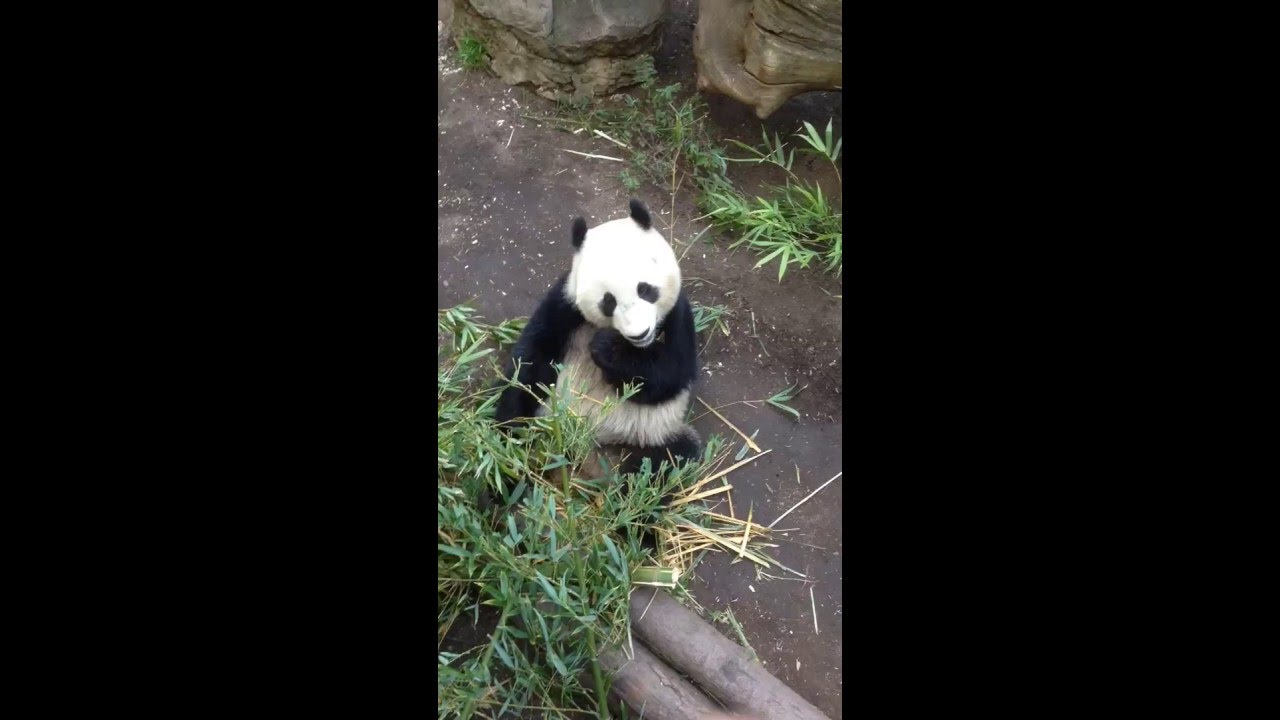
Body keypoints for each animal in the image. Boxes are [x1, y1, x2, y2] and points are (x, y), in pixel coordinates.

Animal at [494, 199, 701, 475]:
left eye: (645, 289)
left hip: (648, 435)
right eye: (608, 301)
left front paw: (608, 349)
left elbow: (669, 374)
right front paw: (509, 438)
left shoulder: (678, 314)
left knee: (672, 456)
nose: (640, 333)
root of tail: (582, 454)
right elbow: (531, 361)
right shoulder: (566, 305)